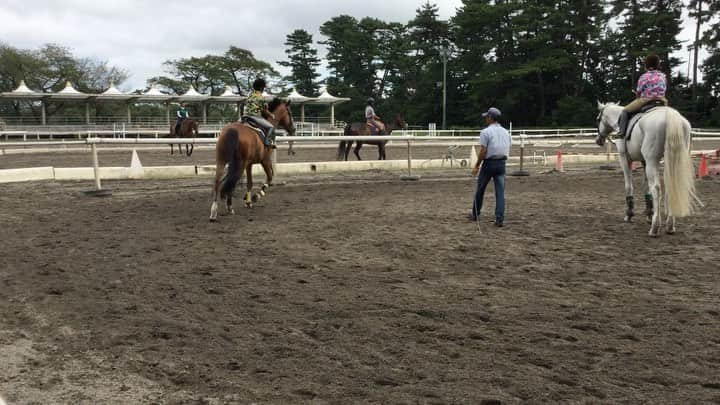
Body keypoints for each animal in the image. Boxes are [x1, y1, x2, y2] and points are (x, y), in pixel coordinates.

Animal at [596, 101, 704, 235]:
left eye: (598, 119)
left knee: (656, 188)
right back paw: (669, 225)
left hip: (652, 161)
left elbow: (629, 186)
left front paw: (629, 214)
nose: (598, 140)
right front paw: (648, 214)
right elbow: (646, 187)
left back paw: (655, 227)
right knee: (670, 186)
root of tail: (671, 117)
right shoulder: (644, 162)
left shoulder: (625, 159)